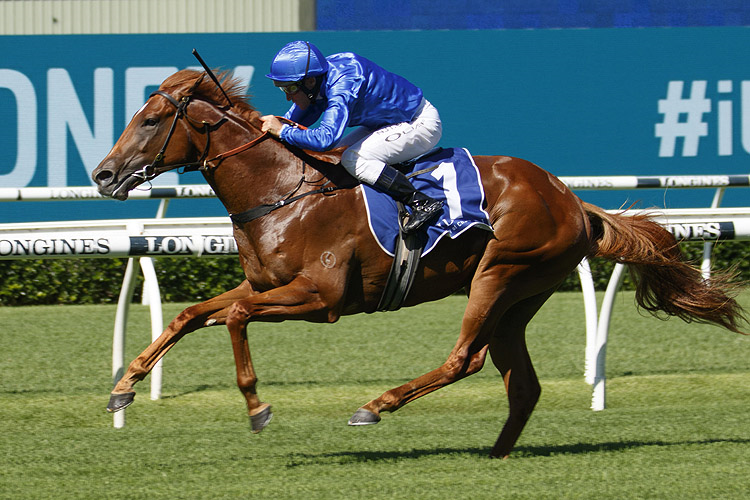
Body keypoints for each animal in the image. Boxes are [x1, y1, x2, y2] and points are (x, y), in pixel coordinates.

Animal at [92, 69, 748, 458]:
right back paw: (496, 454)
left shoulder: (320, 298)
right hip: (520, 296)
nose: (102, 173)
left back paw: (375, 406)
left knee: (465, 359)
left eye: (151, 119)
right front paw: (123, 388)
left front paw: (258, 409)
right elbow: (192, 315)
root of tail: (572, 199)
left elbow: (231, 320)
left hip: (500, 273)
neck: (281, 192)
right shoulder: (263, 284)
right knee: (521, 382)